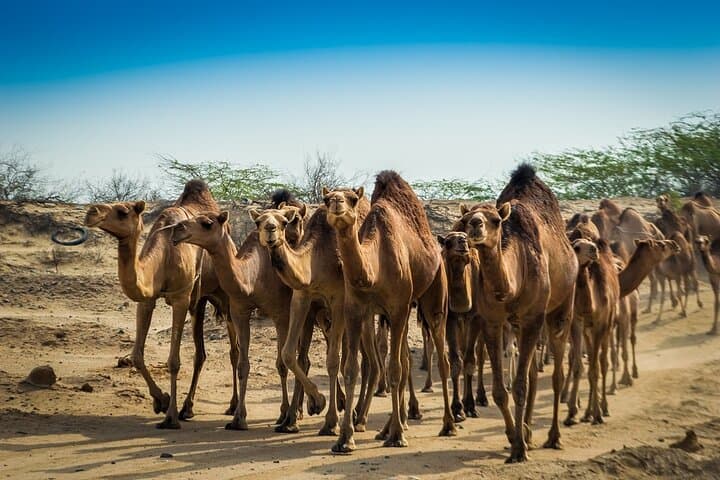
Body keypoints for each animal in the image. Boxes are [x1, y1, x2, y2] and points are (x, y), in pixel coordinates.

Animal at [84, 180, 230, 429]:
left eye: (122, 211)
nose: (90, 212)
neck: (165, 254)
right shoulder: (147, 299)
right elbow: (136, 356)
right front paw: (161, 400)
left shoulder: (180, 298)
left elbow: (173, 361)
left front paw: (170, 417)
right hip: (200, 301)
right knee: (200, 353)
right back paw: (188, 408)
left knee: (232, 350)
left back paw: (225, 408)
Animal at [169, 194, 313, 431]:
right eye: (258, 222)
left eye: (207, 223)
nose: (177, 229)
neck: (253, 277)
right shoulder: (239, 312)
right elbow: (243, 364)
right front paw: (238, 418)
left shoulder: (280, 315)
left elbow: (281, 363)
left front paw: (283, 414)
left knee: (305, 357)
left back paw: (299, 412)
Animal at [325, 171, 456, 453]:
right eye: (326, 198)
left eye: (352, 199)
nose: (337, 203)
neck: (374, 270)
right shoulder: (355, 310)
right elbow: (351, 370)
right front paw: (345, 438)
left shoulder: (397, 309)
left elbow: (394, 369)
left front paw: (397, 436)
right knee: (406, 361)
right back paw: (388, 427)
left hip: (433, 300)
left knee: (442, 359)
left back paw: (448, 424)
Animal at [455, 164, 577, 463]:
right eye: (465, 218)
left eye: (495, 220)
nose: (475, 224)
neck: (511, 285)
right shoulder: (493, 321)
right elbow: (501, 390)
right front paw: (514, 437)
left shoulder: (533, 318)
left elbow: (519, 386)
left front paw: (519, 450)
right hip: (521, 324)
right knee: (532, 373)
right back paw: (529, 432)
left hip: (560, 309)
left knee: (556, 375)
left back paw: (553, 436)